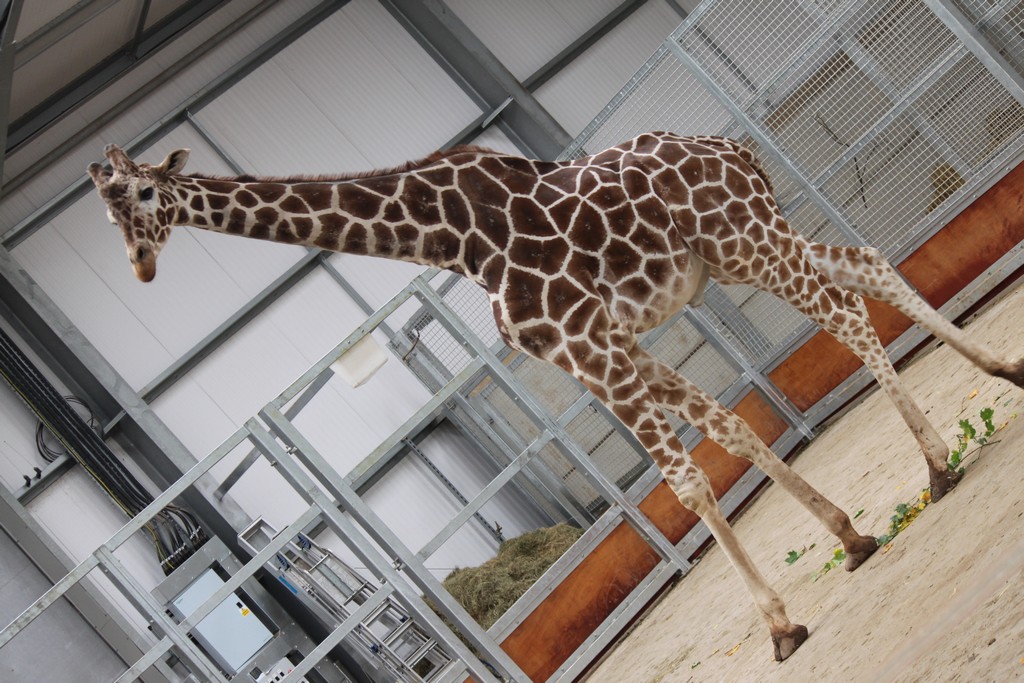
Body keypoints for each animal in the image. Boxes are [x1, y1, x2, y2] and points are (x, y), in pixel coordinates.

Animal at [89, 132, 1023, 661]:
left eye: (145, 195)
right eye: (106, 213)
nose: (140, 265)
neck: (451, 237)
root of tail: (733, 150)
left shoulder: (588, 342)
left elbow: (688, 479)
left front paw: (780, 627)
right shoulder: (596, 348)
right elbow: (727, 428)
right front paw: (850, 536)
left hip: (744, 240)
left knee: (843, 308)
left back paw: (939, 465)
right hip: (739, 248)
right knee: (863, 262)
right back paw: (1000, 377)